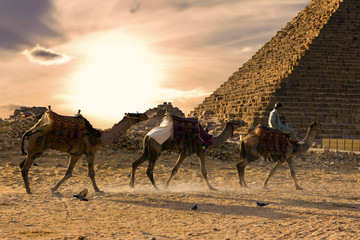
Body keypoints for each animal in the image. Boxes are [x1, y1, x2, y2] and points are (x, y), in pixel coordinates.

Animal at [19, 108, 148, 194]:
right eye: (136, 114)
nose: (145, 115)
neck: (100, 136)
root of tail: (30, 131)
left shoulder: (76, 154)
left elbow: (69, 173)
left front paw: (53, 188)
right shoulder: (91, 152)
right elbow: (91, 172)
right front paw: (98, 190)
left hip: (35, 150)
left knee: (21, 165)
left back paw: (27, 188)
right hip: (36, 147)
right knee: (25, 168)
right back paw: (29, 190)